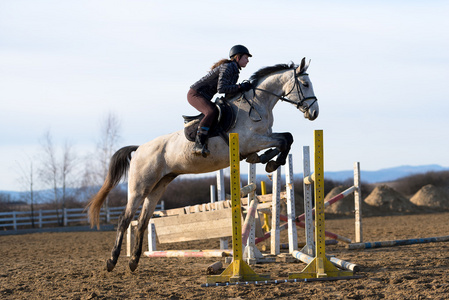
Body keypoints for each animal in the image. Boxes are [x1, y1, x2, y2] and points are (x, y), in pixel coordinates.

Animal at [86, 56, 318, 272]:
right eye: (305, 84)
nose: (314, 113)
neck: (257, 104)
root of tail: (139, 148)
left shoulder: (262, 139)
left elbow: (285, 139)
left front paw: (267, 161)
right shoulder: (251, 141)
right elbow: (284, 139)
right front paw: (271, 162)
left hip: (158, 186)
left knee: (142, 222)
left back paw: (133, 262)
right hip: (140, 186)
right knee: (124, 219)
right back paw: (111, 261)